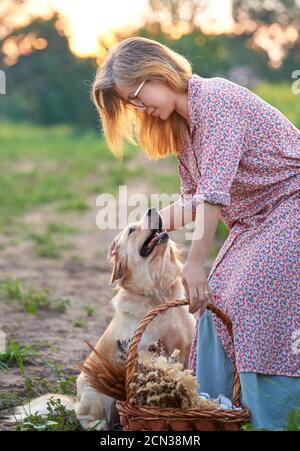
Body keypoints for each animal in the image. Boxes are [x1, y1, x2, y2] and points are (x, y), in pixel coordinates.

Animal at [9, 208, 195, 430]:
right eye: (132, 230)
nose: (152, 209)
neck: (158, 292)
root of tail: (77, 401)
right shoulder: (144, 352)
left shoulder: (186, 346)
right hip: (95, 393)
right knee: (84, 418)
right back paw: (100, 425)